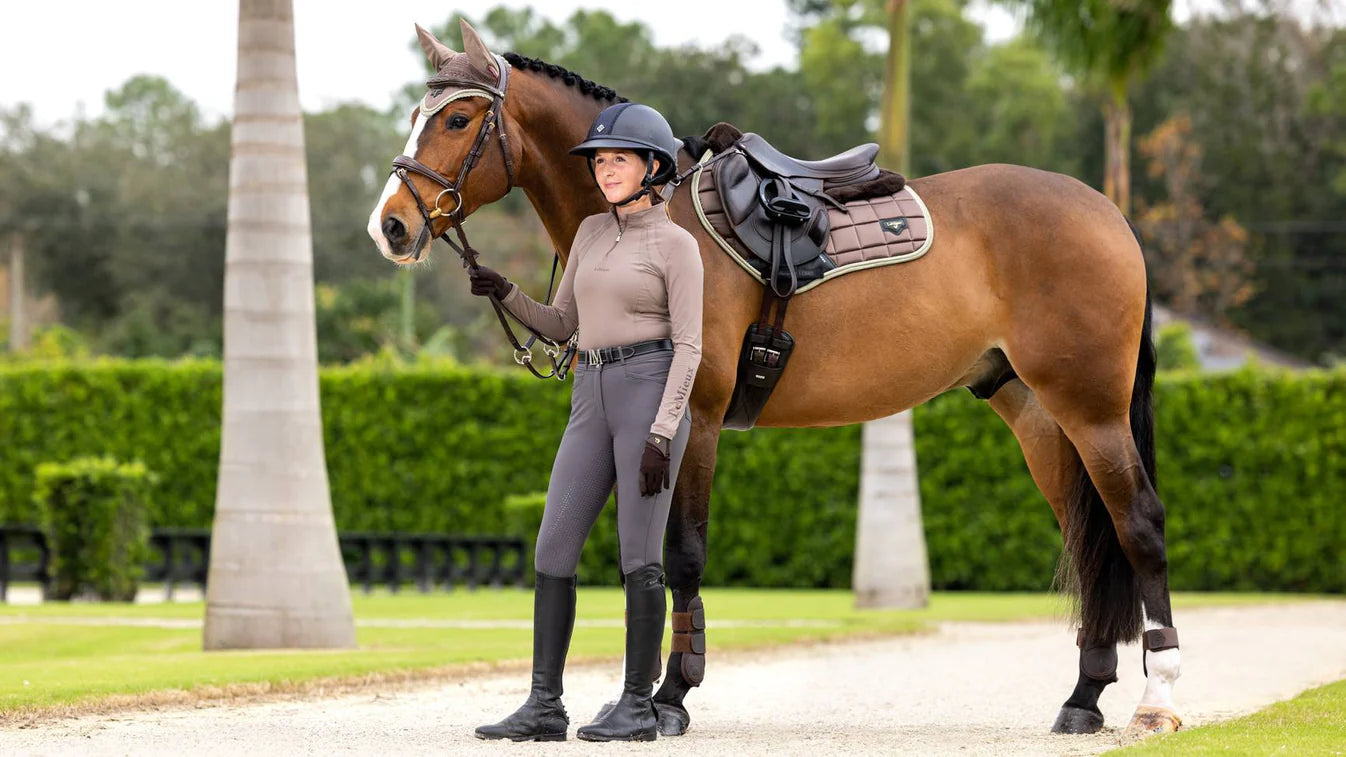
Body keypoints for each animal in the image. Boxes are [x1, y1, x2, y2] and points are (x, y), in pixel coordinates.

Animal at [368, 21, 1182, 739]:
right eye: (414, 117)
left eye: (459, 118)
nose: (391, 226)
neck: (654, 218)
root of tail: (1108, 212)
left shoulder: (692, 418)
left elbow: (682, 553)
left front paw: (669, 698)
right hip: (1037, 413)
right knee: (1090, 537)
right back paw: (1083, 698)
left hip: (1091, 409)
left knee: (1138, 525)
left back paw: (1158, 701)